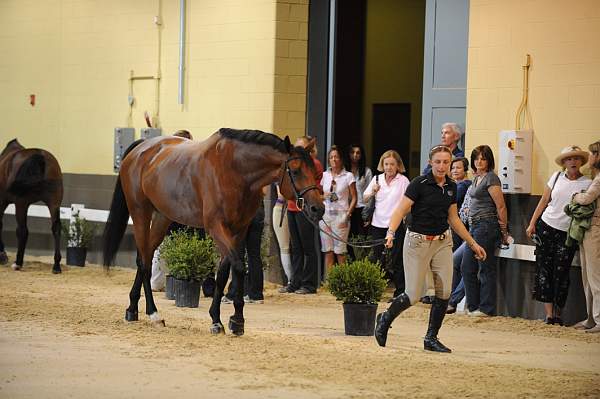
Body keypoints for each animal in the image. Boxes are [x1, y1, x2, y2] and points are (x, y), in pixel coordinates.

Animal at [0, 139, 63, 274]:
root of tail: (40, 156)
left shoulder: (2, 201)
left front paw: (2, 255)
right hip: (54, 203)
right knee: (56, 228)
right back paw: (56, 265)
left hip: (21, 204)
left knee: (23, 231)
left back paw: (18, 263)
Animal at [104, 128, 328, 334]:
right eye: (296, 171)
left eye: (316, 172)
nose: (318, 208)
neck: (235, 171)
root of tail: (141, 148)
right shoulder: (216, 227)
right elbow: (239, 267)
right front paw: (236, 320)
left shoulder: (238, 230)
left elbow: (223, 273)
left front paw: (219, 319)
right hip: (140, 212)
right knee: (143, 261)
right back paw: (152, 313)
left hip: (162, 216)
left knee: (147, 256)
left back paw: (133, 309)